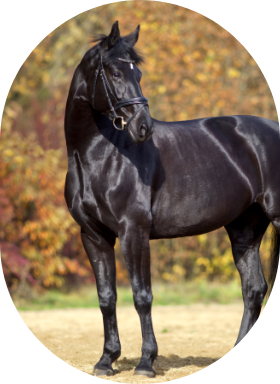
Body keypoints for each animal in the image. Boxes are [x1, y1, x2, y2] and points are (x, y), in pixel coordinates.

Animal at [64, 20, 280, 376]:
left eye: (138, 73)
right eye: (115, 73)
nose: (143, 127)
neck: (99, 155)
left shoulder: (134, 232)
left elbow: (142, 296)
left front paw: (145, 363)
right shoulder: (93, 235)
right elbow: (106, 297)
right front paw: (106, 360)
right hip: (245, 229)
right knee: (253, 290)